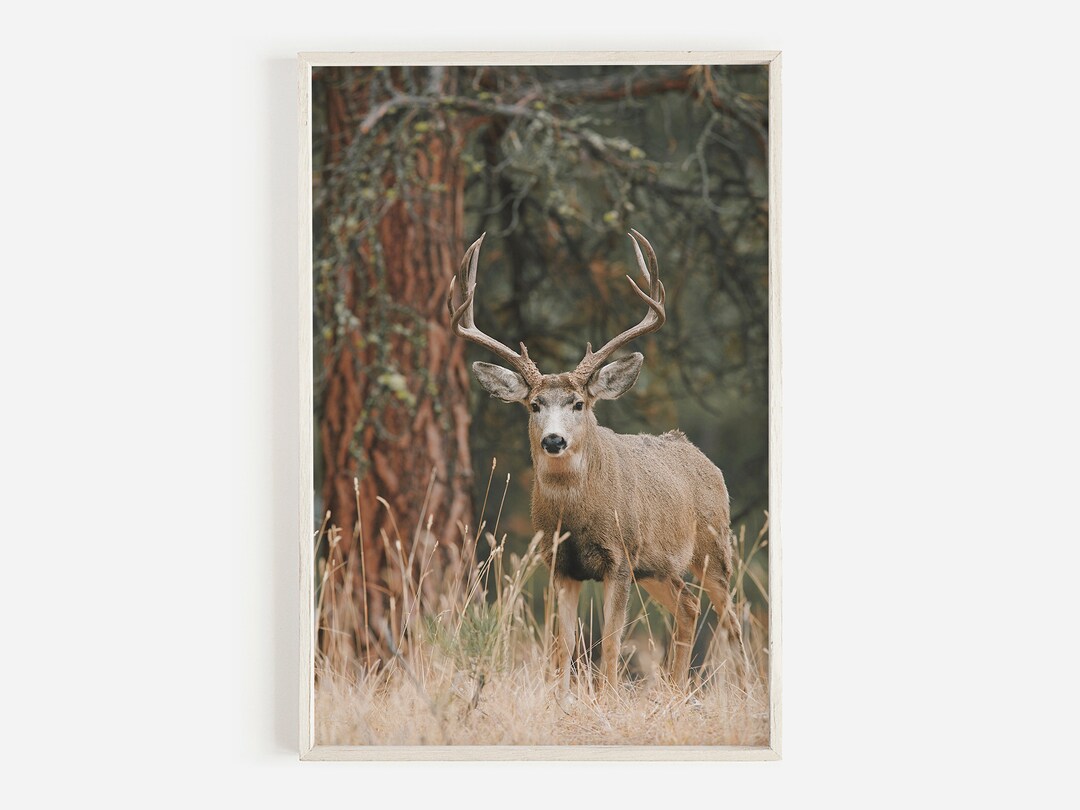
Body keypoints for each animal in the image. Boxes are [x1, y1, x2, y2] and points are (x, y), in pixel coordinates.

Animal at [447, 230, 751, 698]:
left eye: (578, 403)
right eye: (534, 405)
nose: (554, 440)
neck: (575, 517)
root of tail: (705, 460)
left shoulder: (620, 558)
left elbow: (610, 641)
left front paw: (607, 697)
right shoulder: (559, 563)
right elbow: (562, 645)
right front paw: (559, 698)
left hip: (713, 547)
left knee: (734, 615)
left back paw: (747, 687)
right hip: (658, 568)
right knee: (688, 603)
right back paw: (675, 691)